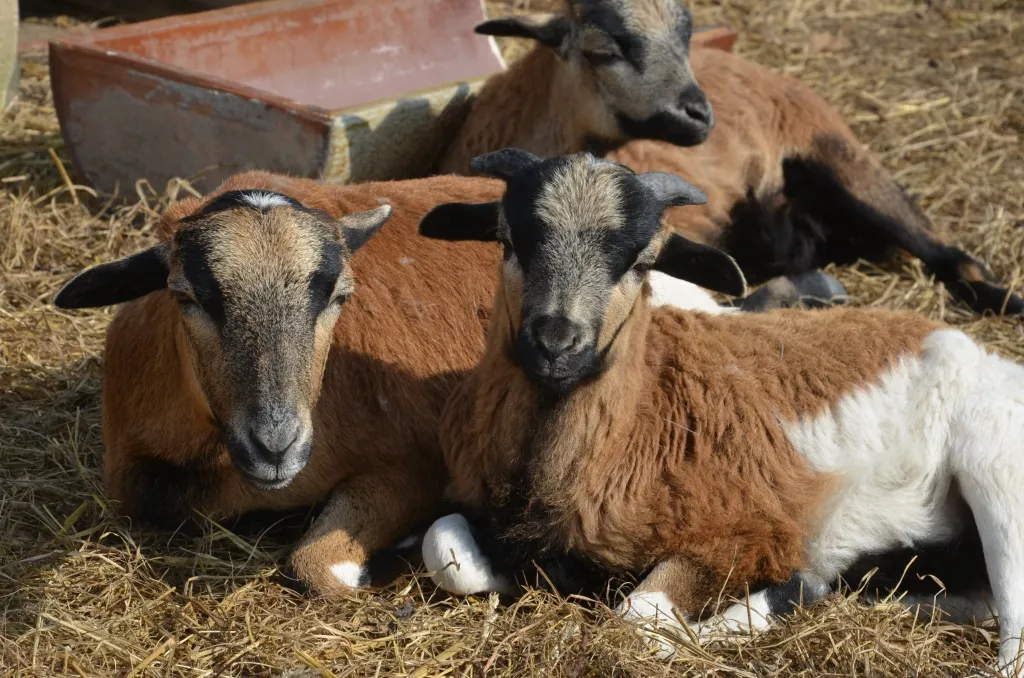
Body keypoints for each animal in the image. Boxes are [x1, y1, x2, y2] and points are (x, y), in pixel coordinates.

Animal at [417, 149, 1024, 676]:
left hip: (996, 476)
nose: (555, 343)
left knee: (1012, 639)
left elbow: (634, 621)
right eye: (508, 239)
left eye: (641, 261)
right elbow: (442, 547)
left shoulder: (740, 537)